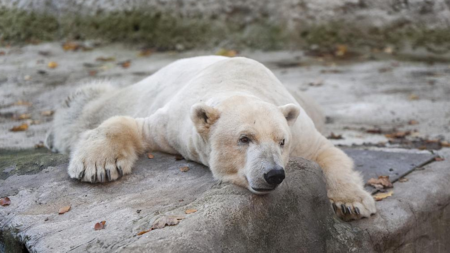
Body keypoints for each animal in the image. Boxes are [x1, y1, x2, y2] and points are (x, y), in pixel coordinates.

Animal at [45, 55, 376, 219]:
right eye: (244, 139)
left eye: (282, 142)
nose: (274, 174)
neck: (238, 82)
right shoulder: (174, 126)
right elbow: (129, 124)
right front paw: (98, 167)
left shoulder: (300, 131)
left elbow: (328, 153)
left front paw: (352, 204)